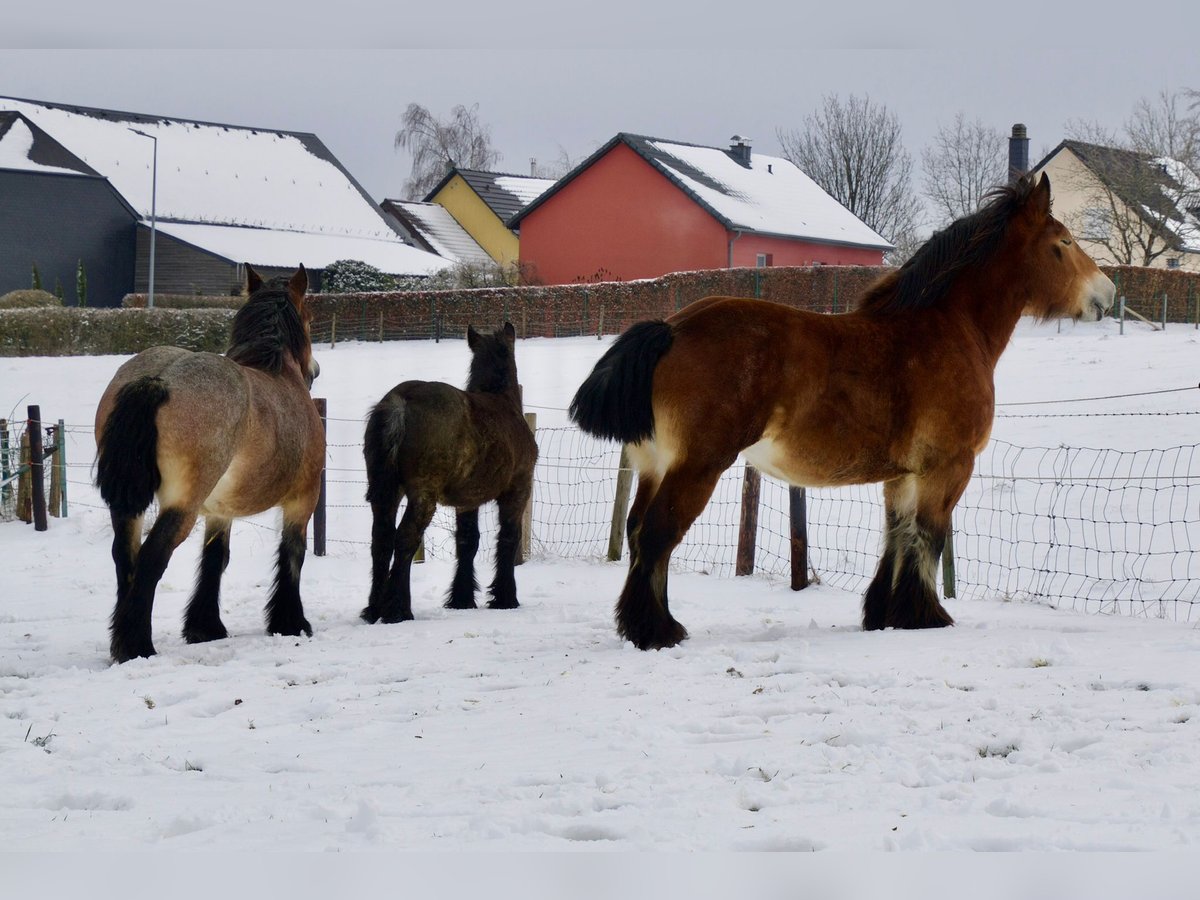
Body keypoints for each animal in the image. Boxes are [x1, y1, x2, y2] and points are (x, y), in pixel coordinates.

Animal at [96, 266, 324, 662]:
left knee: (125, 555)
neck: (279, 373)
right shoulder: (304, 498)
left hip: (128, 507)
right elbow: (292, 553)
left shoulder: (220, 510)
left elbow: (215, 558)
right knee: (152, 557)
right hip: (181, 505)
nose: (316, 371)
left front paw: (205, 627)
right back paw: (138, 646)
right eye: (310, 318)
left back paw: (122, 639)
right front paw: (291, 621)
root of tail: (159, 378)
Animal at [360, 324, 540, 628]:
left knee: (381, 540)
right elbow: (508, 537)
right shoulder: (518, 489)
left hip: (387, 492)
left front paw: (461, 598)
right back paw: (397, 610)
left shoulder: (467, 501)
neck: (503, 403)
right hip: (423, 496)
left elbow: (467, 541)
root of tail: (400, 401)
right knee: (405, 539)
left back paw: (374, 609)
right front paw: (504, 598)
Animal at [571, 172, 1113, 652]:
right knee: (657, 534)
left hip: (654, 465)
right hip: (696, 466)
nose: (1107, 294)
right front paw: (925, 616)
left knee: (637, 533)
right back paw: (656, 632)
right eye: (1064, 242)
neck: (946, 327)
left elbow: (896, 536)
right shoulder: (948, 467)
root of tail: (671, 328)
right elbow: (928, 537)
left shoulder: (901, 474)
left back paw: (651, 624)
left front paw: (885, 615)